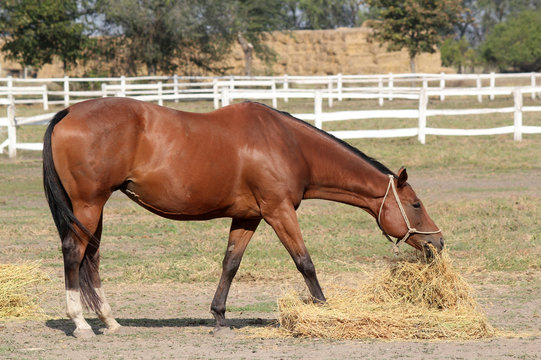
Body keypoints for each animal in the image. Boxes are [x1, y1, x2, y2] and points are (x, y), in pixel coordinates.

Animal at [41, 96, 438, 338]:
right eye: (416, 204)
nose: (437, 242)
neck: (288, 144)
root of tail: (69, 112)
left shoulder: (249, 217)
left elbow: (230, 264)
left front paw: (219, 317)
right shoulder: (278, 212)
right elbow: (305, 262)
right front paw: (324, 310)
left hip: (93, 209)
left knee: (91, 258)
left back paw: (109, 320)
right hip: (89, 204)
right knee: (75, 254)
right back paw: (80, 323)